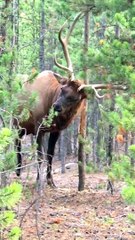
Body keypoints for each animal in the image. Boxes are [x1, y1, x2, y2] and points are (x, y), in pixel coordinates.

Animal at [15, 12, 126, 187]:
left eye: (75, 98)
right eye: (62, 89)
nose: (56, 107)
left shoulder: (56, 130)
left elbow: (50, 154)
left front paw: (51, 181)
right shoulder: (39, 125)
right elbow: (40, 155)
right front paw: (39, 181)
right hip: (15, 122)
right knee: (16, 145)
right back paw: (18, 173)